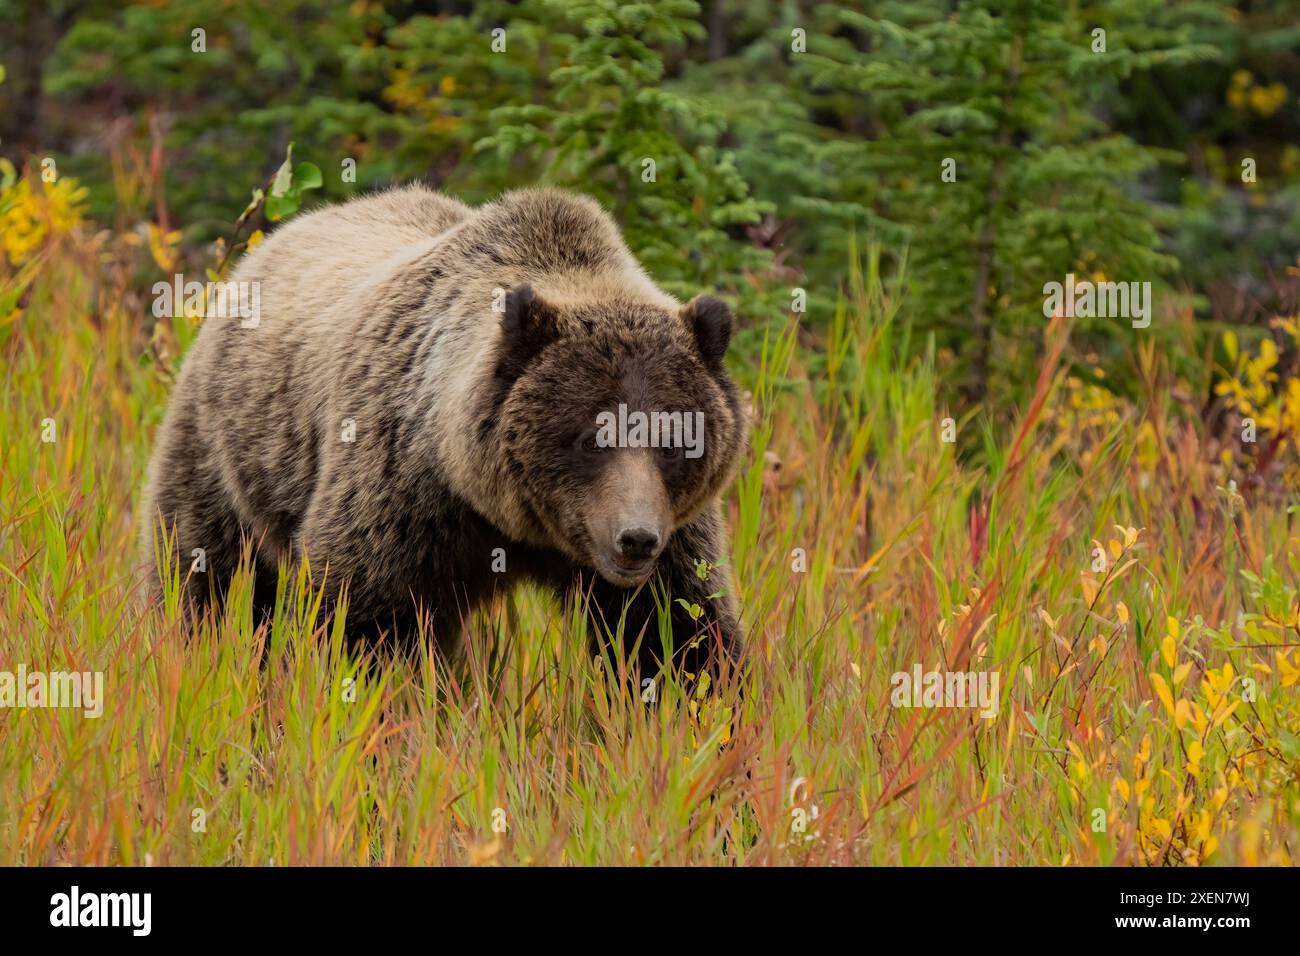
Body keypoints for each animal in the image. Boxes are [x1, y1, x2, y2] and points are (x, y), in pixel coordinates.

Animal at [137, 187, 748, 676]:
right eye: (589, 436)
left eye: (673, 441)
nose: (635, 538)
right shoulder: (402, 489)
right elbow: (362, 620)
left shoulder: (672, 532)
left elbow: (679, 631)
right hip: (225, 448)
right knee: (204, 573)